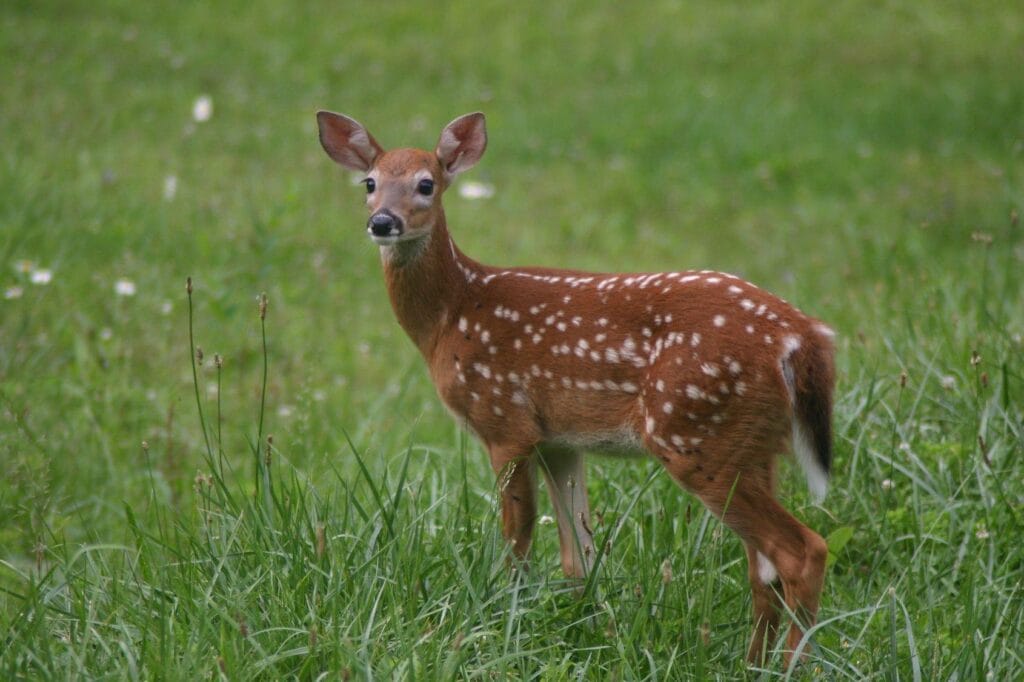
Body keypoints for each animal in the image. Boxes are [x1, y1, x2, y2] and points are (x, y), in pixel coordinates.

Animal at [316, 110, 836, 667]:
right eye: (370, 183)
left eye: (426, 184)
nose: (382, 222)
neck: (450, 316)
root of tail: (801, 337)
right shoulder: (560, 441)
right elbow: (578, 557)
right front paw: (580, 634)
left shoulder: (505, 421)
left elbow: (518, 542)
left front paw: (506, 631)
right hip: (754, 445)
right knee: (764, 569)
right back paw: (752, 662)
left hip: (695, 435)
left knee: (802, 551)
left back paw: (791, 666)